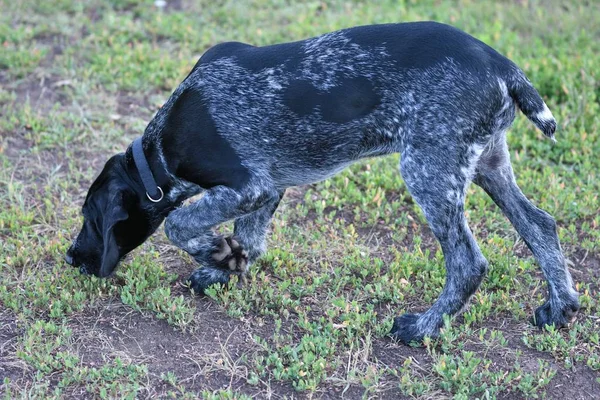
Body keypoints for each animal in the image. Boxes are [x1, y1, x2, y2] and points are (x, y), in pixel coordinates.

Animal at [67, 21, 580, 344]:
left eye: (92, 221)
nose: (71, 257)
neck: (160, 147)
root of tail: (501, 64)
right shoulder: (267, 187)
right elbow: (248, 241)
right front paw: (223, 265)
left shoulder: (247, 186)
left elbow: (180, 224)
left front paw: (213, 252)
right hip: (487, 163)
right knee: (540, 225)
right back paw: (560, 308)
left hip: (428, 170)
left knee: (468, 263)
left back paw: (421, 329)